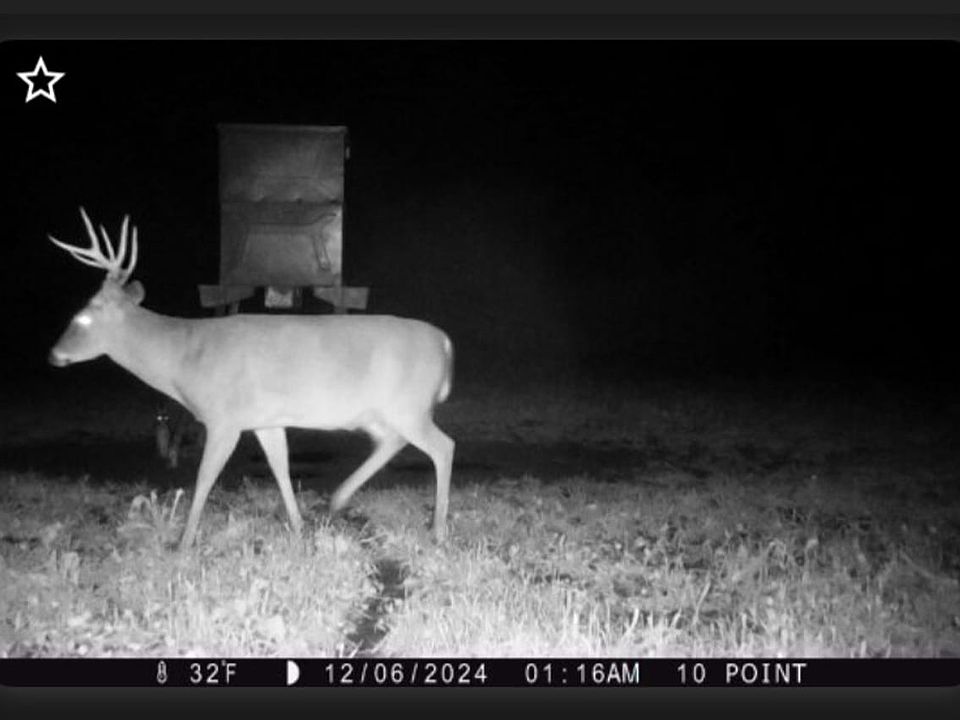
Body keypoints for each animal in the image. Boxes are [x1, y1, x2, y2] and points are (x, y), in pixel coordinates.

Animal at [48, 208, 455, 550]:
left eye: (82, 317)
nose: (53, 354)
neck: (184, 359)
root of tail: (445, 342)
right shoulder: (265, 420)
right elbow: (280, 467)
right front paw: (298, 527)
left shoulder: (223, 418)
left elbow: (204, 478)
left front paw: (183, 543)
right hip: (379, 413)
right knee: (393, 442)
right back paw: (338, 499)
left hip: (407, 405)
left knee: (443, 446)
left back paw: (437, 529)